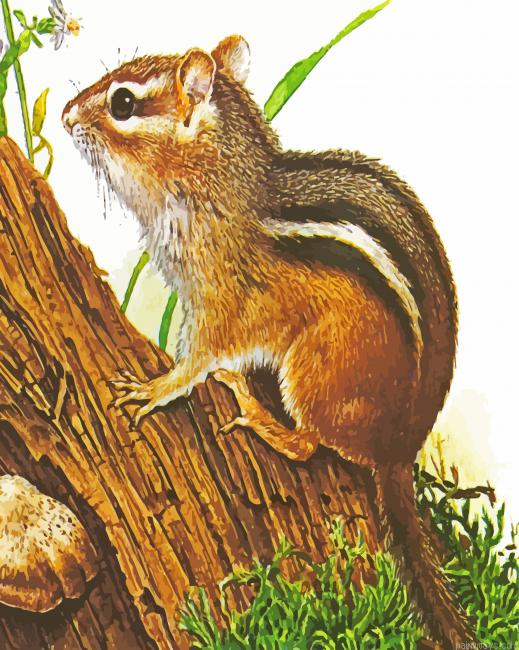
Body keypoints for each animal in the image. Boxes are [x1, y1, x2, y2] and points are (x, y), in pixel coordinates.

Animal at [62, 35, 475, 647]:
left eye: (122, 103)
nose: (67, 116)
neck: (213, 186)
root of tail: (403, 449)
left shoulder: (217, 300)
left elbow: (197, 357)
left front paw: (154, 387)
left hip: (315, 370)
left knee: (309, 443)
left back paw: (261, 415)